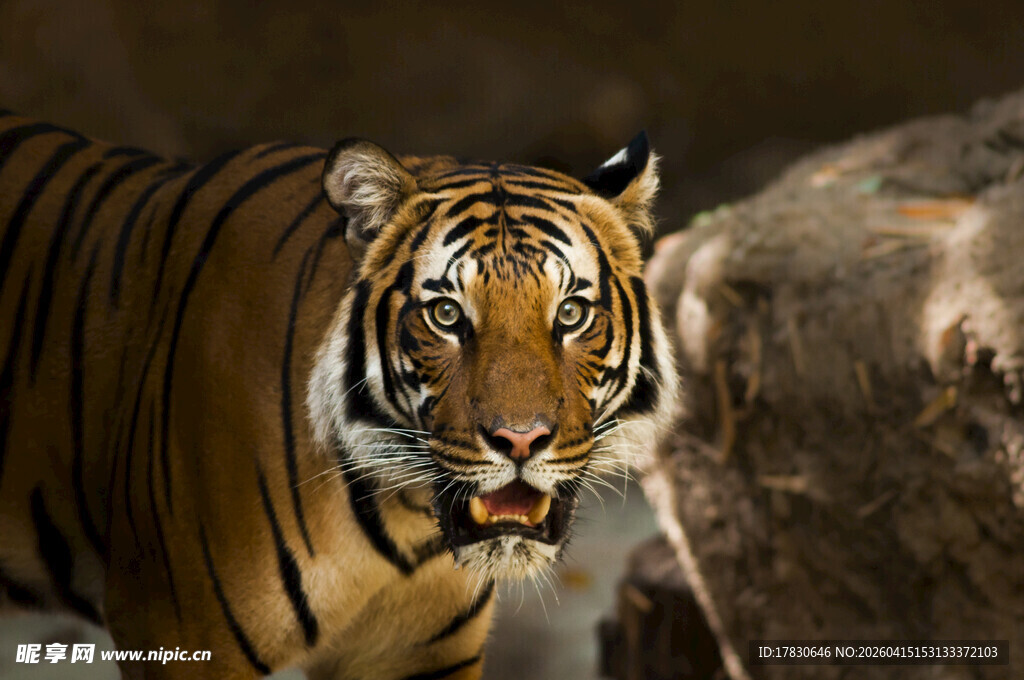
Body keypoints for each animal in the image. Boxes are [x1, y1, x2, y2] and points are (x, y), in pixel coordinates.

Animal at [0, 109, 678, 679]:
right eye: (446, 315)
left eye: (570, 314)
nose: (520, 439)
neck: (404, 522)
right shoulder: (179, 632)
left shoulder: (422, 655)